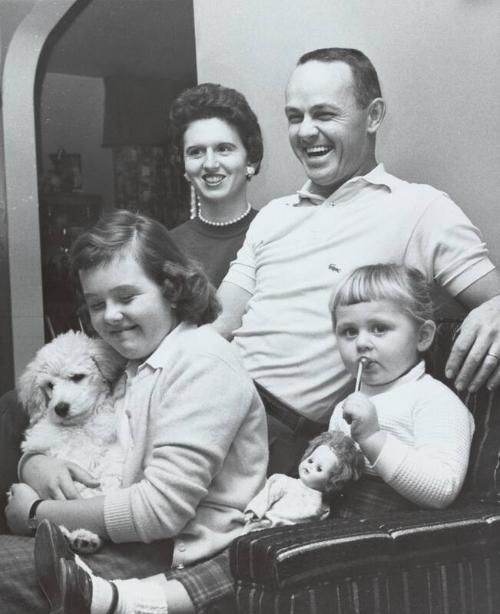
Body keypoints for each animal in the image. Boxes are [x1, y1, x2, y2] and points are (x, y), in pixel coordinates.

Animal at [17, 332, 127, 552]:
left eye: (77, 377)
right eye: (50, 385)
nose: (60, 408)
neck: (77, 427)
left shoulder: (109, 452)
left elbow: (107, 479)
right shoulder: (57, 454)